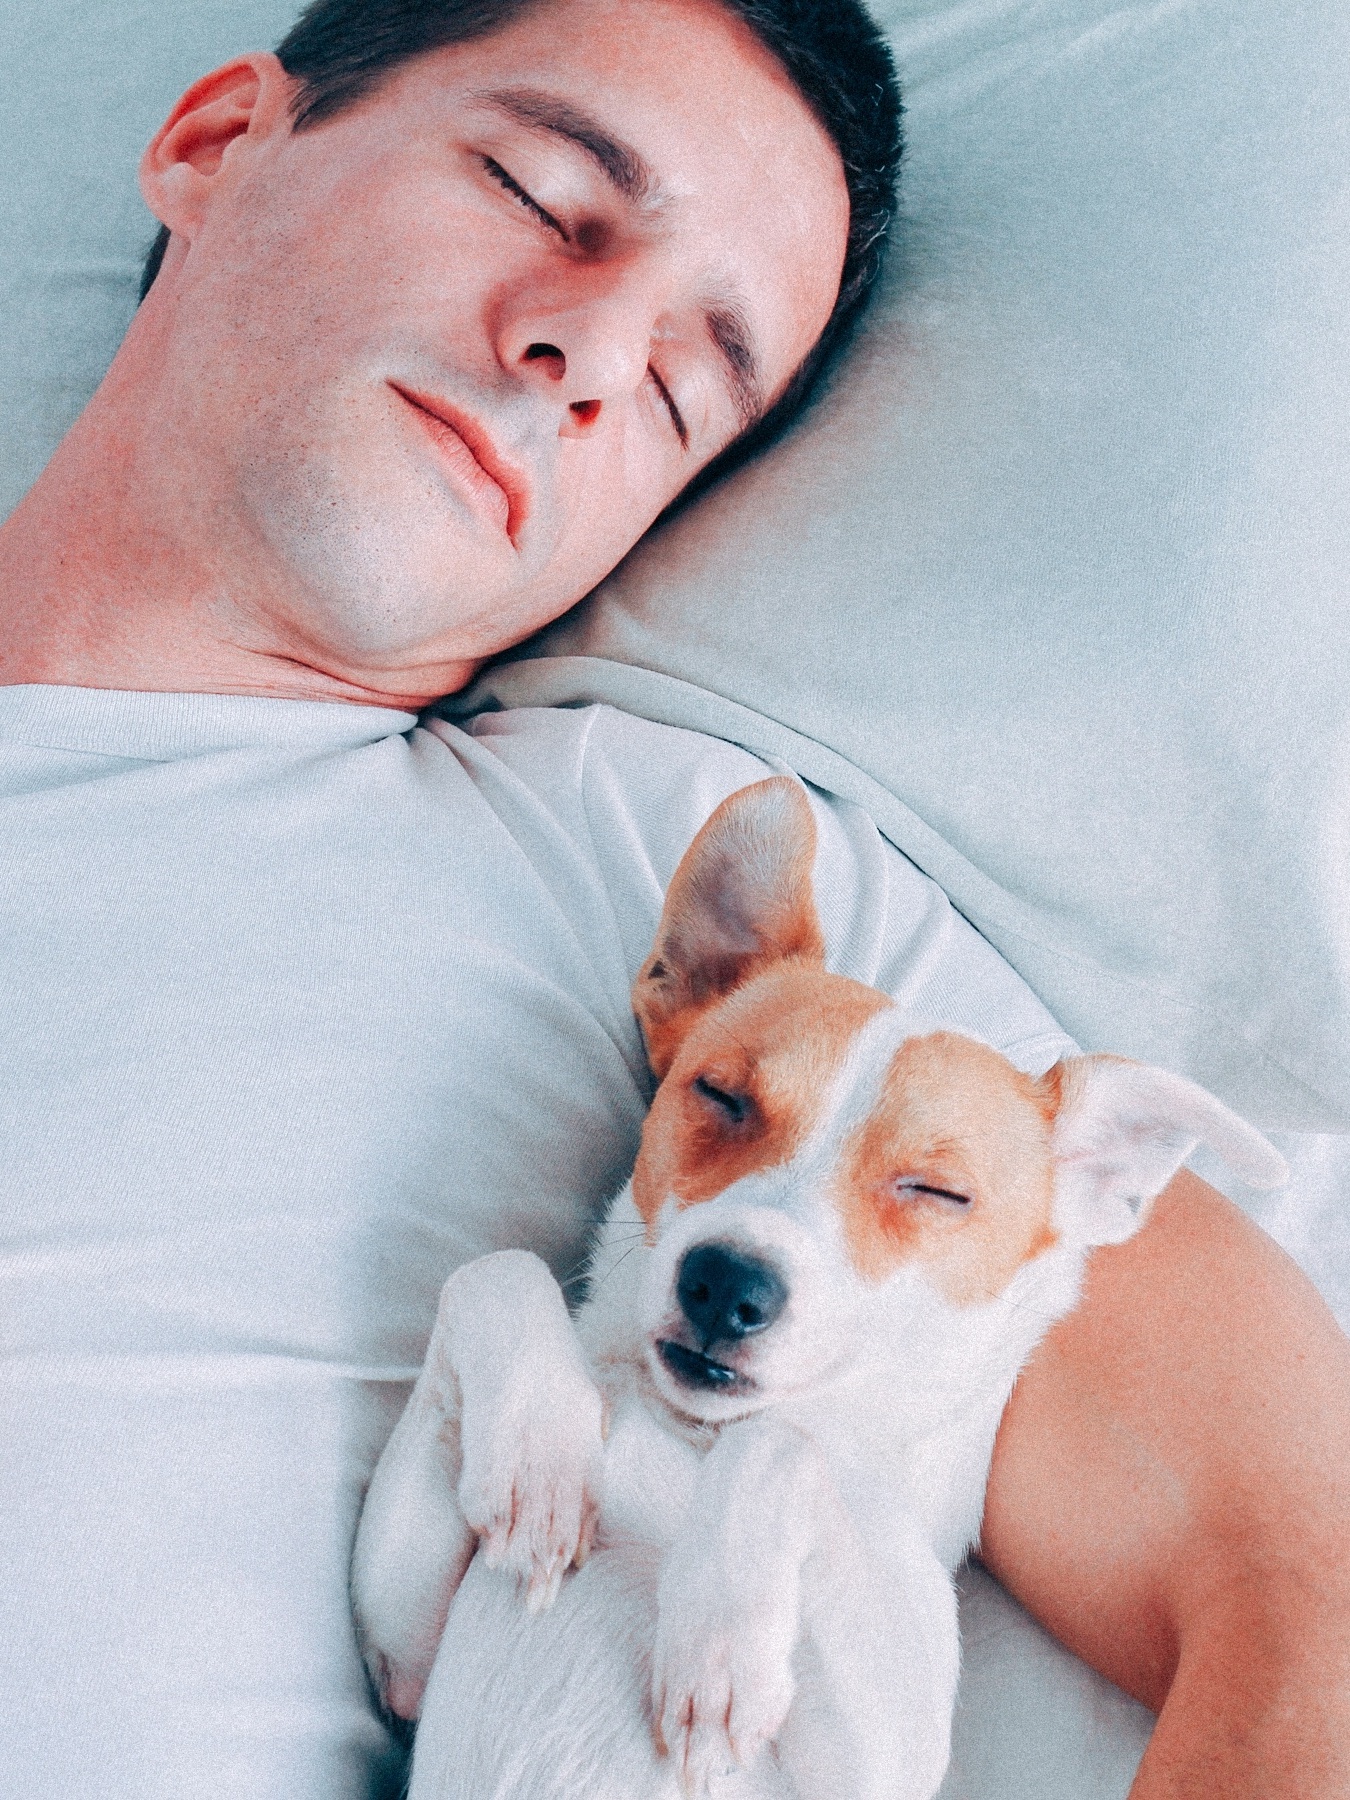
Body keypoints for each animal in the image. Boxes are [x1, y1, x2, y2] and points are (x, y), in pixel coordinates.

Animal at [351, 777, 1288, 1800]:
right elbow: (495, 1274)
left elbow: (782, 1448)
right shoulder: (399, 1657)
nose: (725, 1282)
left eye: (938, 1191)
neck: (686, 1439)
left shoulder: (879, 1762)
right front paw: (536, 1460)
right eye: (720, 1095)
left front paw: (718, 1644)